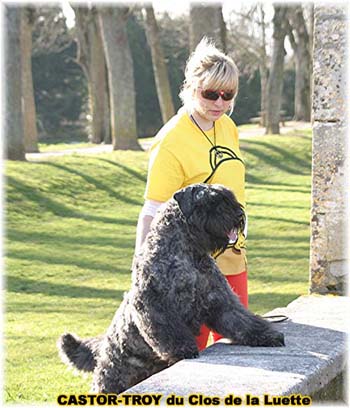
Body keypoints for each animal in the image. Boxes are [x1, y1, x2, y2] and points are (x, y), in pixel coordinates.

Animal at [58, 184, 284, 392]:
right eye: (209, 201)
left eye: (228, 197)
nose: (238, 215)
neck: (188, 253)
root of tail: (104, 344)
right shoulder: (154, 304)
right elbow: (169, 329)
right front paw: (184, 350)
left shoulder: (219, 299)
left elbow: (241, 320)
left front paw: (268, 336)